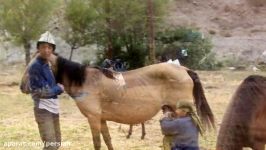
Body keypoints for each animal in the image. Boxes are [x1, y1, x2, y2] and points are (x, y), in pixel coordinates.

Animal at [20, 54, 215, 150]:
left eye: (34, 68)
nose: (23, 86)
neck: (86, 81)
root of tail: (184, 69)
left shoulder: (93, 119)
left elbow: (97, 142)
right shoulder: (101, 119)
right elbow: (107, 140)